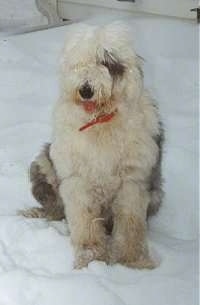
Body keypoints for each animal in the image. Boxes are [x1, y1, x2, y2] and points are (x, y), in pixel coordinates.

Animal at [20, 22, 164, 268]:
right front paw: (90, 259)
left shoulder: (133, 181)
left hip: (155, 192)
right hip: (44, 163)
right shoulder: (77, 180)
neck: (101, 122)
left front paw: (134, 262)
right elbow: (85, 222)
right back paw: (33, 214)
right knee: (55, 210)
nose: (86, 90)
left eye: (106, 61)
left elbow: (131, 224)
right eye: (79, 64)